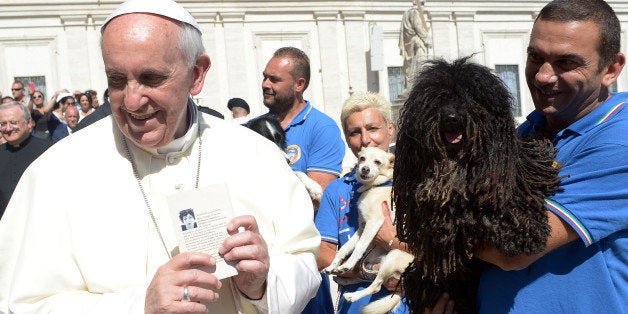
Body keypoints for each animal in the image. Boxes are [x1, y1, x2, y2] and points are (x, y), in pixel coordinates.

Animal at [324, 147, 418, 314]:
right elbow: (345, 249)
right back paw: (342, 276)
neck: (375, 186)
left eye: (377, 162)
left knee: (376, 285)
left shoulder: (373, 224)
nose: (364, 169)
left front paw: (348, 264)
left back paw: (353, 295)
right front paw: (334, 265)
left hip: (393, 255)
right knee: (365, 275)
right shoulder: (362, 228)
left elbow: (358, 248)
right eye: (362, 158)